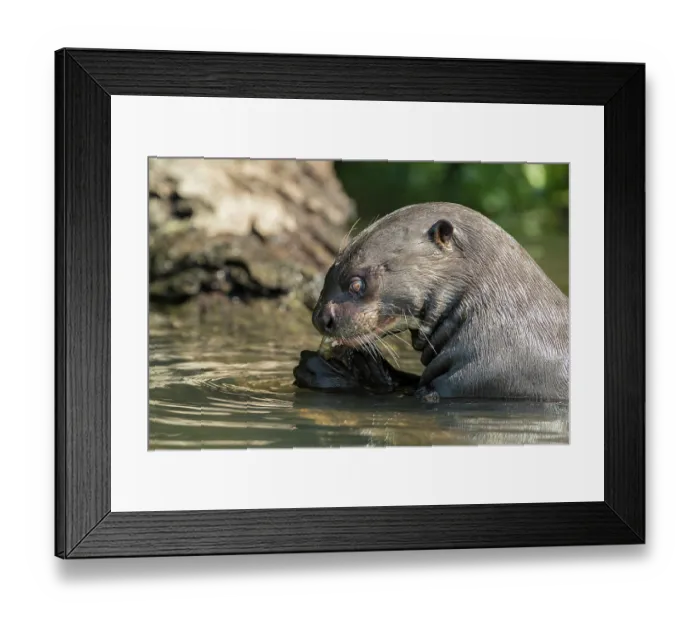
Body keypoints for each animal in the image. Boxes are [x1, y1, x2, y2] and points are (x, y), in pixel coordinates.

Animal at [295, 202, 569, 402]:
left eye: (356, 283)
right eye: (328, 273)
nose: (320, 317)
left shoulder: (484, 378)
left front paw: (325, 371)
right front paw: (366, 368)